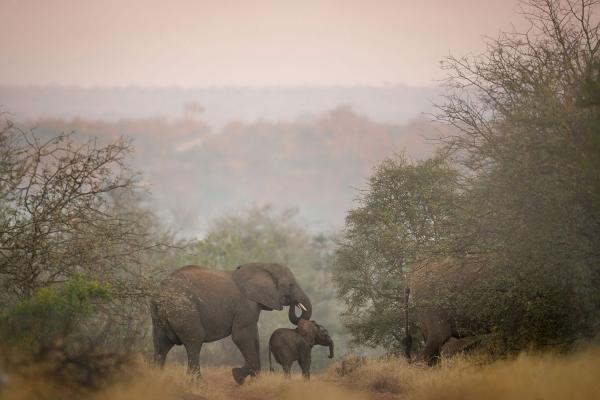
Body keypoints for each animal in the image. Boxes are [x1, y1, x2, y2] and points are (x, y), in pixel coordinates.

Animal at [150, 262, 312, 384]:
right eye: (291, 285)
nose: (294, 303)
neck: (263, 265)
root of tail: (160, 291)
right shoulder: (246, 305)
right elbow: (242, 337)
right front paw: (237, 377)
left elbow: (254, 338)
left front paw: (255, 380)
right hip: (184, 309)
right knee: (194, 342)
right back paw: (198, 384)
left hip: (159, 315)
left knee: (161, 345)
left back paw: (157, 380)